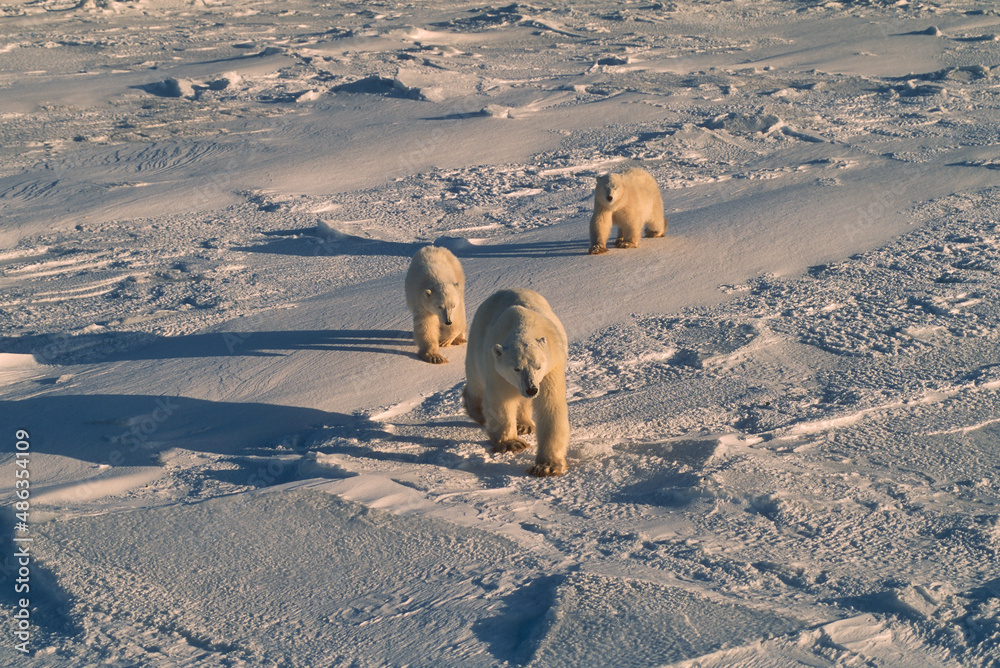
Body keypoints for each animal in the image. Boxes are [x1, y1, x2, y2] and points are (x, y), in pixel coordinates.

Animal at [463, 288, 570, 477]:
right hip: (477, 341)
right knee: (476, 381)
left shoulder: (552, 365)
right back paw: (477, 411)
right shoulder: (497, 367)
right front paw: (512, 443)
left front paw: (546, 466)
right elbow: (501, 401)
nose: (531, 389)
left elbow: (551, 406)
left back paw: (525, 425)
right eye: (516, 368)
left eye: (538, 366)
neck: (524, 325)